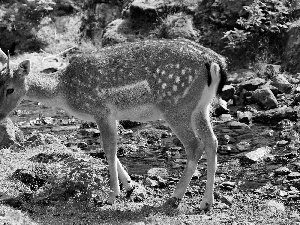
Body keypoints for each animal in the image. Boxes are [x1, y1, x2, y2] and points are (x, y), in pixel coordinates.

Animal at [0, 38, 227, 209]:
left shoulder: (102, 111)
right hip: (201, 107)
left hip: (176, 106)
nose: (1, 114)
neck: (63, 91)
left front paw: (112, 195)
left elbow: (109, 150)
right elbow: (110, 149)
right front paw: (129, 186)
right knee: (212, 141)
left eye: (10, 89)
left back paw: (176, 196)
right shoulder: (111, 116)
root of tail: (215, 62)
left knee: (195, 145)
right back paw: (206, 202)